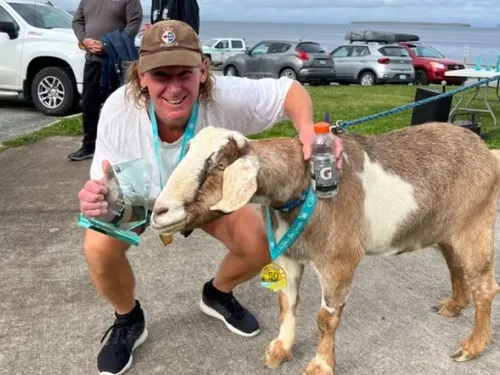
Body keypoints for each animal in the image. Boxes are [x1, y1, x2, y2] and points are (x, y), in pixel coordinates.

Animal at [149, 122, 500, 374]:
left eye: (218, 166)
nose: (159, 211)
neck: (304, 187)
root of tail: (484, 149)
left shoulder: (338, 263)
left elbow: (325, 319)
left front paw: (320, 365)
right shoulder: (288, 257)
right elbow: (287, 304)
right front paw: (279, 350)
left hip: (475, 224)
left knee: (485, 285)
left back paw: (472, 346)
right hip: (447, 229)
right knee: (455, 264)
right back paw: (454, 306)